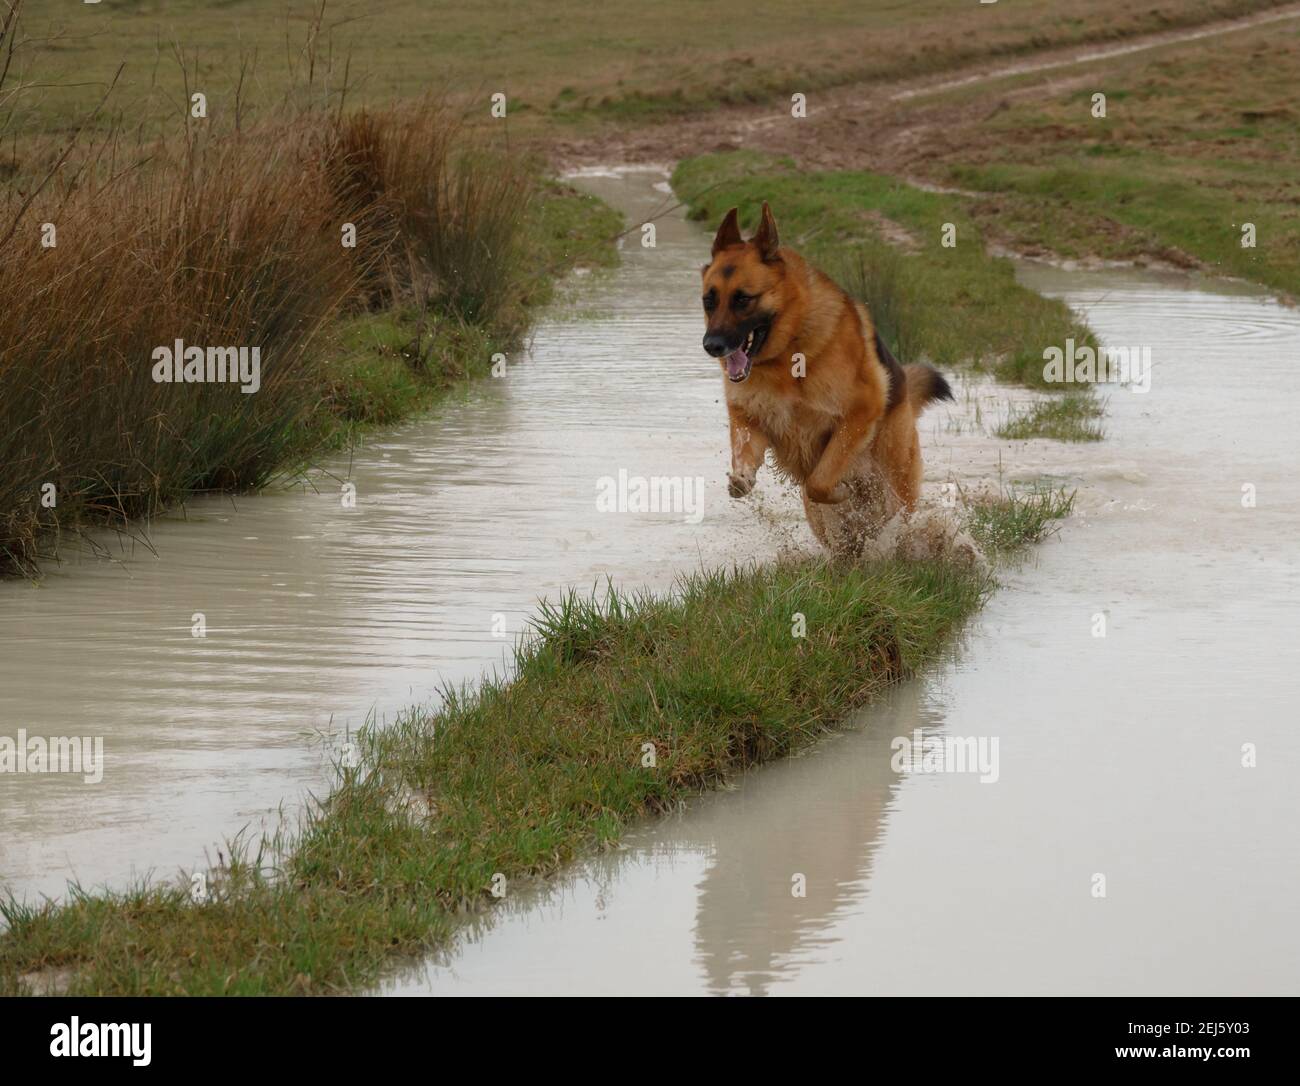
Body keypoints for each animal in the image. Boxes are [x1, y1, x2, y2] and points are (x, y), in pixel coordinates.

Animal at [702, 204, 956, 556]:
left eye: (743, 299)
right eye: (709, 300)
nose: (711, 345)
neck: (788, 351)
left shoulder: (858, 415)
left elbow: (819, 481)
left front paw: (840, 491)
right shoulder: (751, 419)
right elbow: (745, 459)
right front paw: (740, 480)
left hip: (895, 482)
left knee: (889, 518)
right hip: (822, 517)